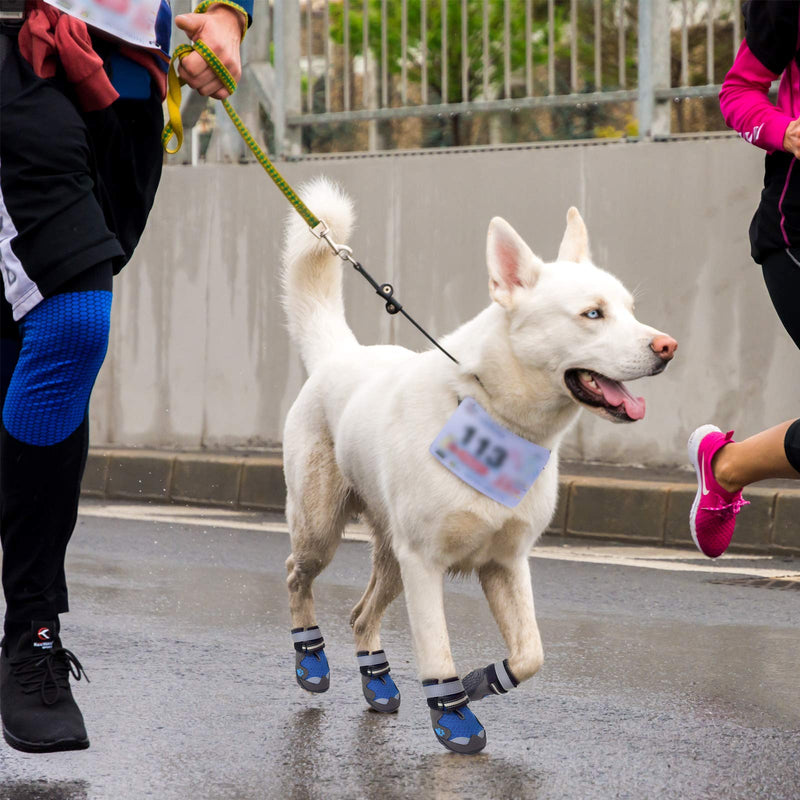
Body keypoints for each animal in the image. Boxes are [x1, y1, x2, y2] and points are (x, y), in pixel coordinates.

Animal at [282, 178, 676, 752]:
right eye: (593, 314)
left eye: (628, 308)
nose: (668, 347)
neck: (491, 410)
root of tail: (340, 354)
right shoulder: (425, 564)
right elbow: (436, 652)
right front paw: (454, 717)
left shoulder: (507, 563)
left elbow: (531, 655)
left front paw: (482, 681)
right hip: (322, 531)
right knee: (297, 575)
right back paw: (310, 661)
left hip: (390, 557)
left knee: (359, 614)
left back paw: (377, 681)